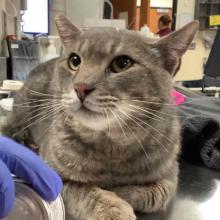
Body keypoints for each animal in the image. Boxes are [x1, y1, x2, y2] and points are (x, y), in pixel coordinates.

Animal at [3, 14, 199, 219]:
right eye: (74, 60)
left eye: (122, 63)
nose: (80, 87)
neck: (111, 145)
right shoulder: (52, 174)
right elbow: (84, 190)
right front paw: (113, 207)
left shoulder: (171, 173)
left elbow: (159, 193)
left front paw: (121, 191)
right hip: (22, 113)